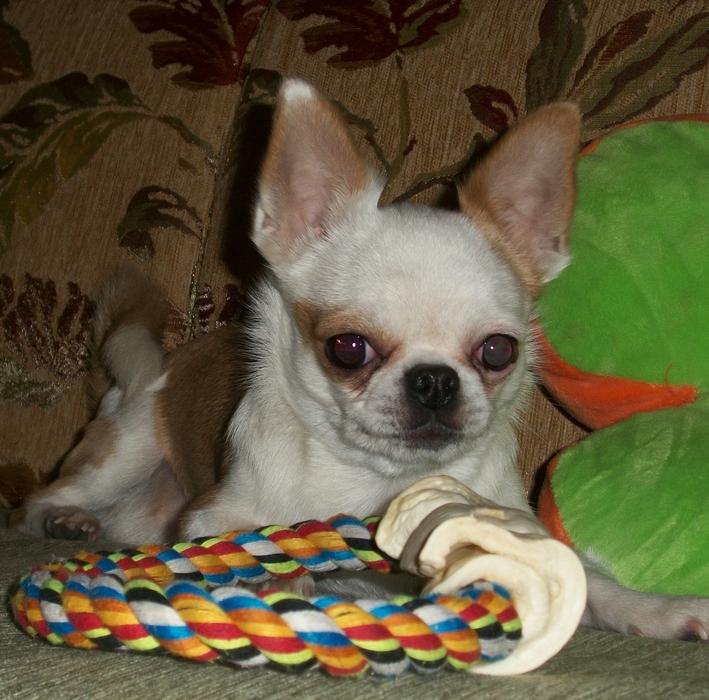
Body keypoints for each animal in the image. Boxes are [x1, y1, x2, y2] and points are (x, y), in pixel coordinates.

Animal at [11, 79, 709, 642]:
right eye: (347, 348)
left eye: (497, 351)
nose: (434, 381)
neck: (378, 482)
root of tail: (169, 357)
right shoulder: (213, 517)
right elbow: (271, 555)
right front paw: (288, 583)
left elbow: (589, 577)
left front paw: (654, 609)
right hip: (126, 449)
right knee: (45, 497)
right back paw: (65, 517)